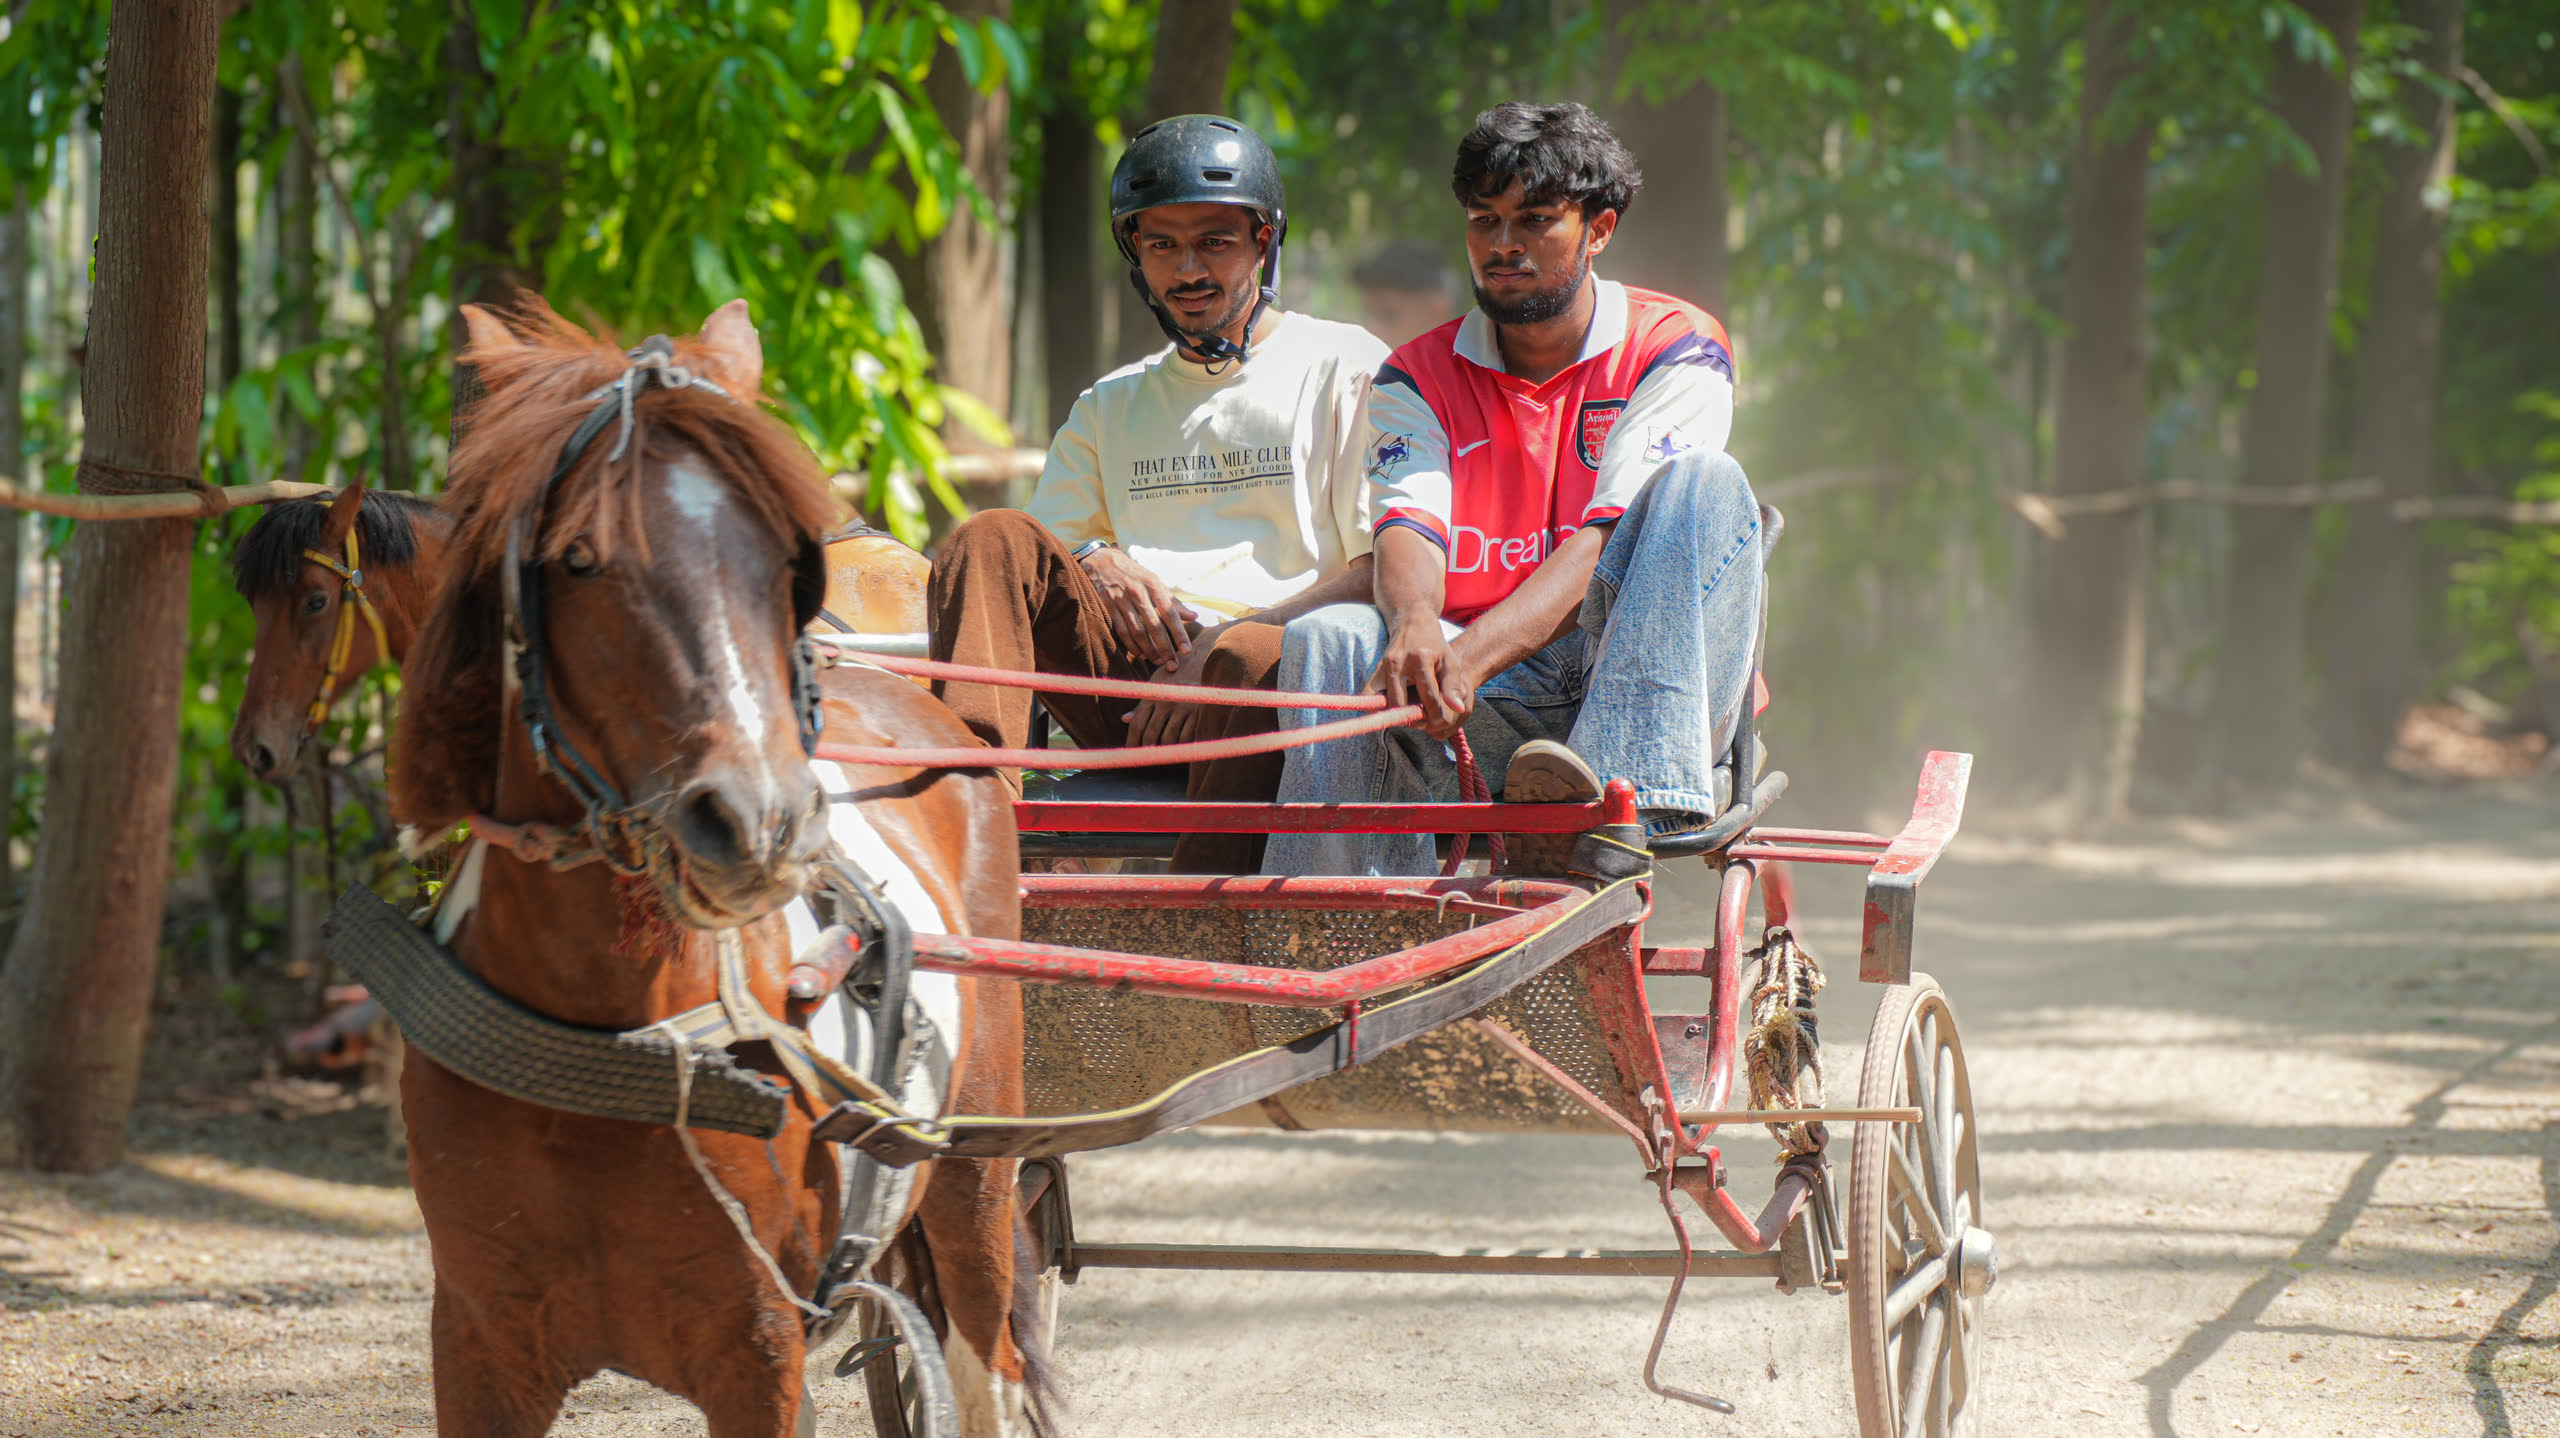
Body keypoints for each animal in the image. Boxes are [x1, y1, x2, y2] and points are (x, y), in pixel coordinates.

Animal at [385, 296, 1047, 1437]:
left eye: (785, 564)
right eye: (577, 558)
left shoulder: (755, 1346)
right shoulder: (476, 1342)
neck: (609, 1031)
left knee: (983, 1357)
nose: (759, 820)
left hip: (975, 1167)